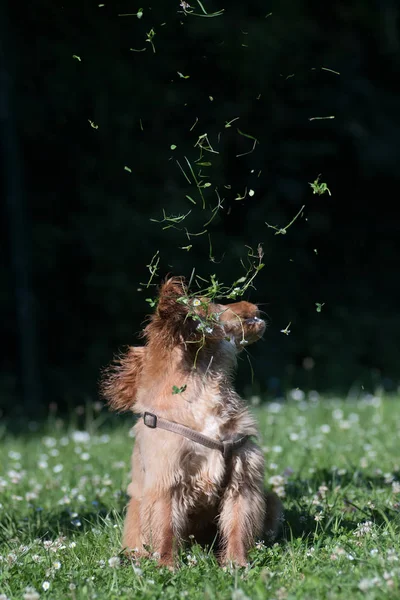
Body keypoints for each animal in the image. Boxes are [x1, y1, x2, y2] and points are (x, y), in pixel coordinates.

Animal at [101, 278, 282, 568]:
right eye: (211, 304)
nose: (252, 303)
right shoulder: (166, 482)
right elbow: (165, 529)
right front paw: (167, 566)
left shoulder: (243, 480)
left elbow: (237, 527)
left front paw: (236, 563)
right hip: (136, 508)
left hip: (272, 498)